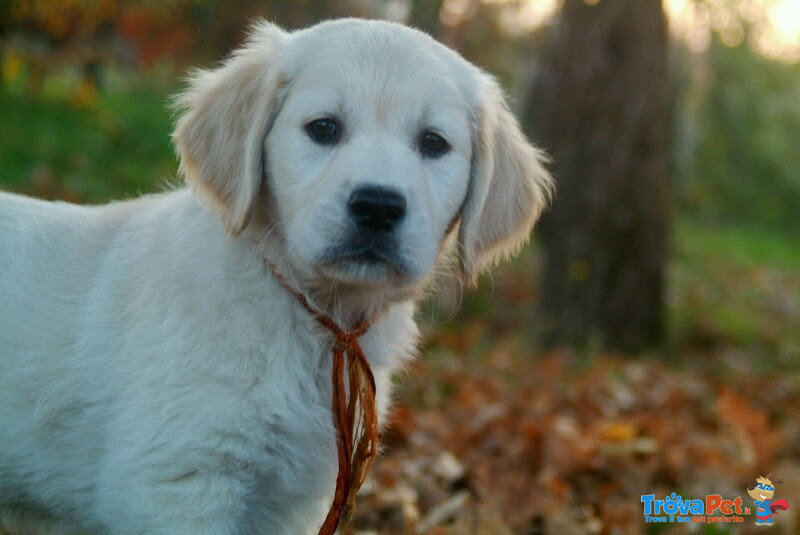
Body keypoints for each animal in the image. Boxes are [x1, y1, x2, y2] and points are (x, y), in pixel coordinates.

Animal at [0, 17, 552, 535]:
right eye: (323, 128)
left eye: (434, 143)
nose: (377, 206)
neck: (308, 316)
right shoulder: (181, 483)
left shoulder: (290, 502)